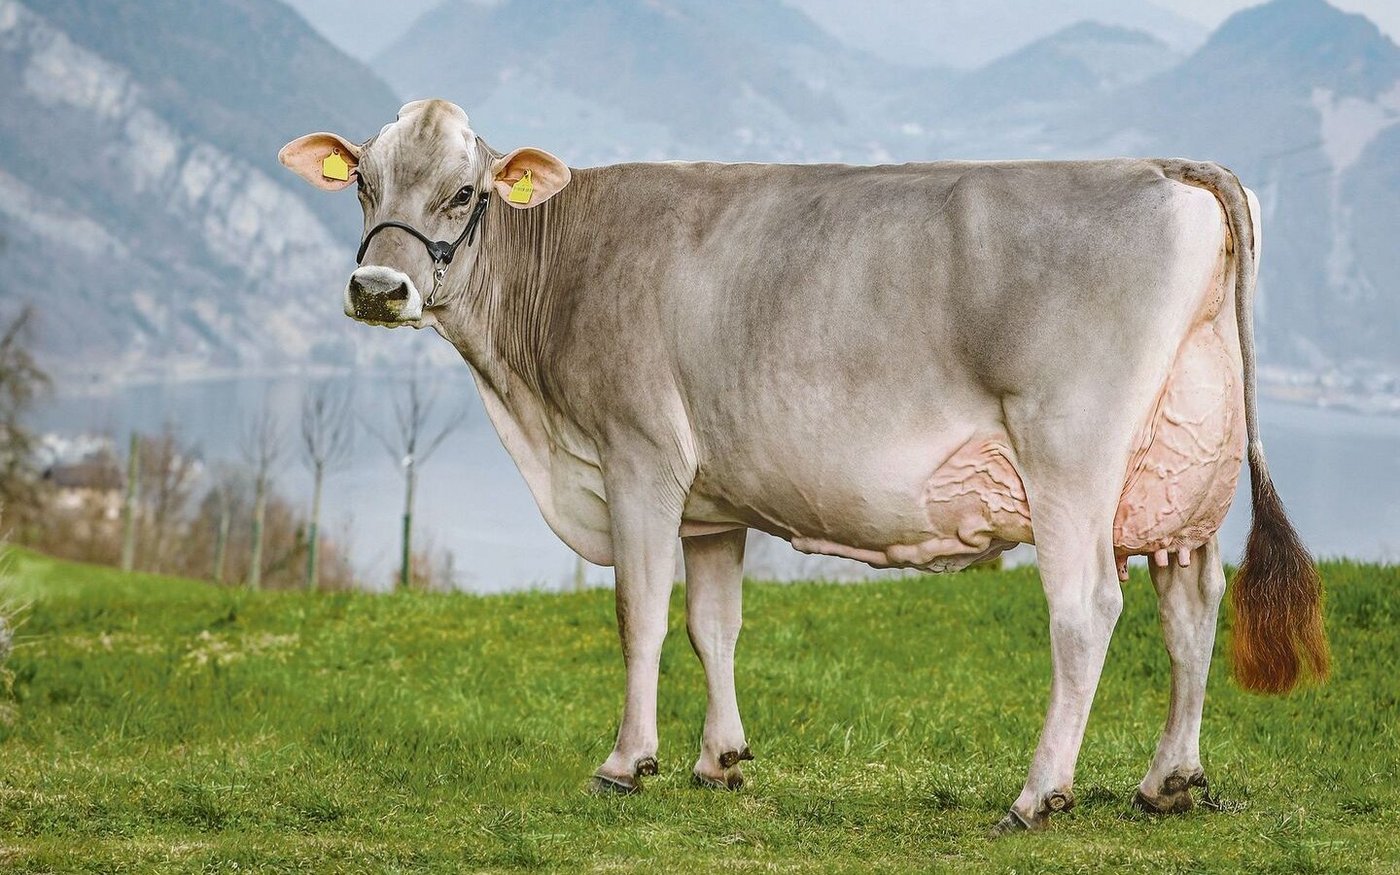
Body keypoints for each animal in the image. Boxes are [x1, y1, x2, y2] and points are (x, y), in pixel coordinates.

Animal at [280, 99, 1329, 833]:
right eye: (363, 182)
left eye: (467, 192)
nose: (379, 286)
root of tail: (1167, 163)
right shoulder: (711, 502)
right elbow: (712, 625)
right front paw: (719, 759)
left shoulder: (637, 455)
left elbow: (638, 616)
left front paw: (626, 762)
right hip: (1180, 471)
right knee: (1192, 609)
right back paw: (1168, 781)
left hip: (1071, 450)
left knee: (1087, 613)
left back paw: (1039, 793)